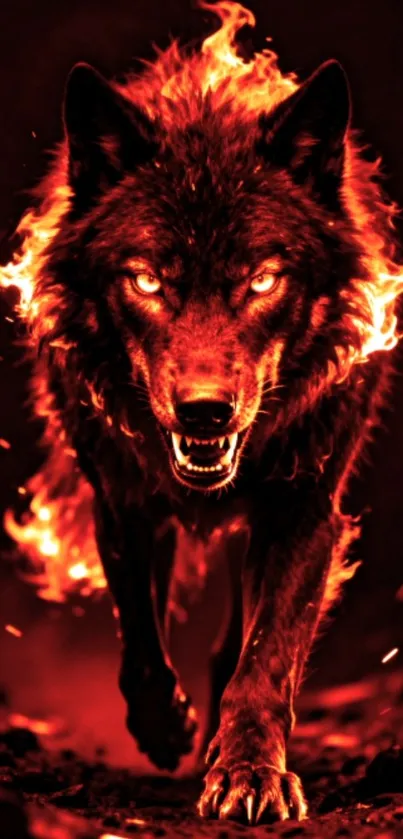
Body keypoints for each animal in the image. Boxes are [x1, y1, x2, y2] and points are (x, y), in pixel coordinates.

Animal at [3, 0, 401, 825]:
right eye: (148, 280)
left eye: (261, 280)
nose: (205, 413)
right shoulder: (122, 501)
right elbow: (139, 636)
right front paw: (164, 728)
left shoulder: (305, 511)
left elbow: (265, 655)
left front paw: (248, 769)